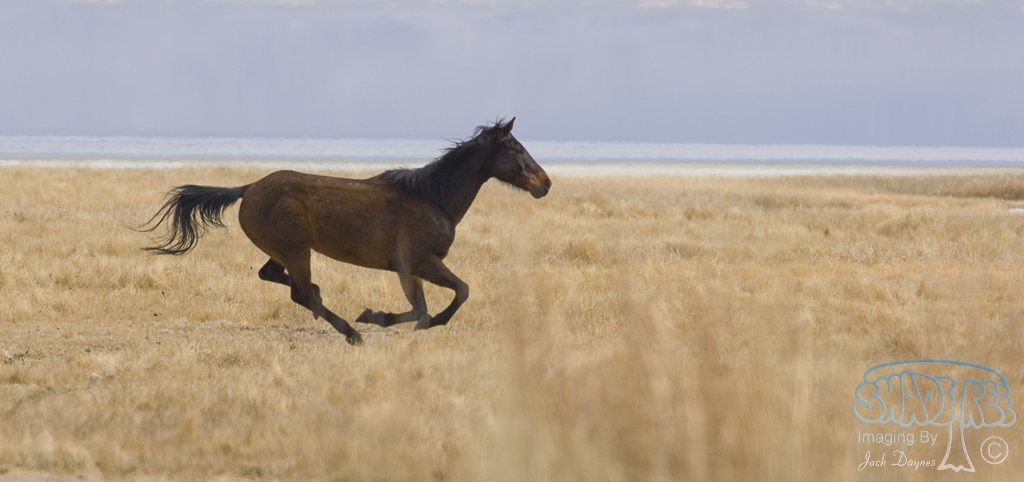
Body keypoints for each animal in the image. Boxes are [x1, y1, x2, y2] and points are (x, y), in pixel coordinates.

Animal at [137, 118, 550, 345]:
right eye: (515, 147)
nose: (544, 183)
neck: (433, 198)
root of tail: (248, 188)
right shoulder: (420, 262)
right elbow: (455, 295)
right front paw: (375, 317)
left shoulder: (412, 268)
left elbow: (424, 307)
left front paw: (387, 317)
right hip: (296, 250)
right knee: (300, 292)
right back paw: (352, 332)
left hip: (283, 250)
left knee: (274, 277)